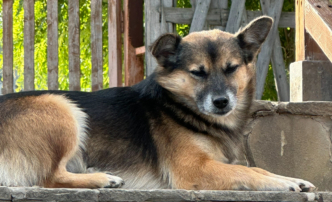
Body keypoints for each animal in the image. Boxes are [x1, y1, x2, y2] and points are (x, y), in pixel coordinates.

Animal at [0, 16, 316, 191]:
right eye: (197, 72)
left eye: (231, 68)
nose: (221, 102)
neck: (177, 106)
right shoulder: (193, 169)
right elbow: (246, 171)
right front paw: (284, 183)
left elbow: (257, 169)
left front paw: (293, 178)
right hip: (60, 107)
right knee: (48, 177)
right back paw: (103, 179)